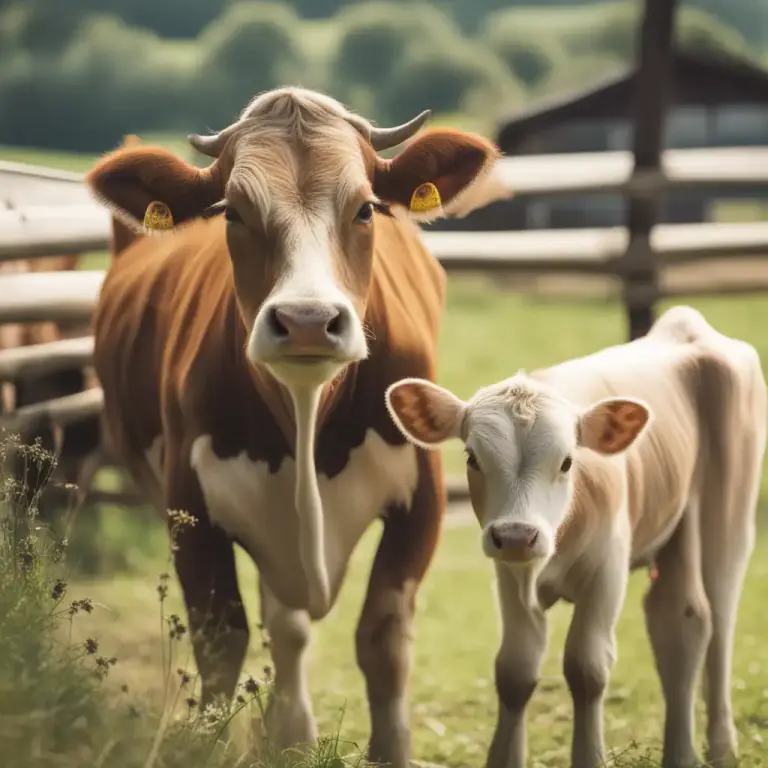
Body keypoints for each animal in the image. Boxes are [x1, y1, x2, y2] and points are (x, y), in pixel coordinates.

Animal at [83, 87, 502, 766]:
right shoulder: (189, 507)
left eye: (366, 209)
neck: (307, 417)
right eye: (231, 213)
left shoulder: (424, 497)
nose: (307, 320)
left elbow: (383, 634)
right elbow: (223, 639)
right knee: (285, 626)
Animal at [385, 305, 766, 768]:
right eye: (472, 457)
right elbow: (514, 670)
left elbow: (587, 668)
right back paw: (681, 753)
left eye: (568, 461)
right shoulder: (509, 574)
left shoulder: (607, 571)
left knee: (720, 620)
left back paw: (722, 745)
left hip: (728, 515)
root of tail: (688, 325)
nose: (517, 534)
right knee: (680, 622)